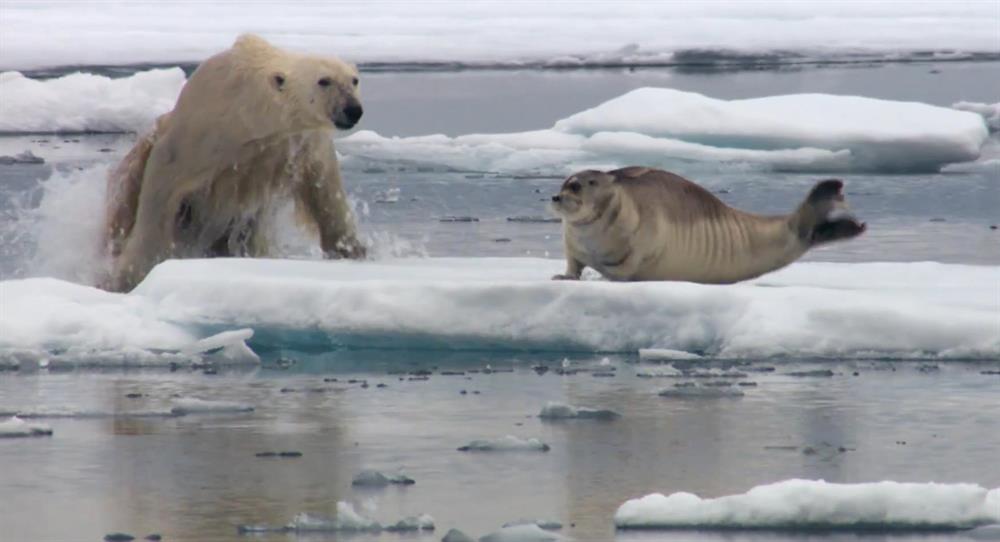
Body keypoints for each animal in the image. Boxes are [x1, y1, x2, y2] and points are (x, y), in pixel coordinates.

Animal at [103, 34, 368, 294]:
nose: (353, 109)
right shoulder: (199, 137)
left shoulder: (298, 144)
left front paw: (353, 250)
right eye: (324, 81)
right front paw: (131, 275)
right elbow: (161, 188)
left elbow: (325, 190)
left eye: (354, 80)